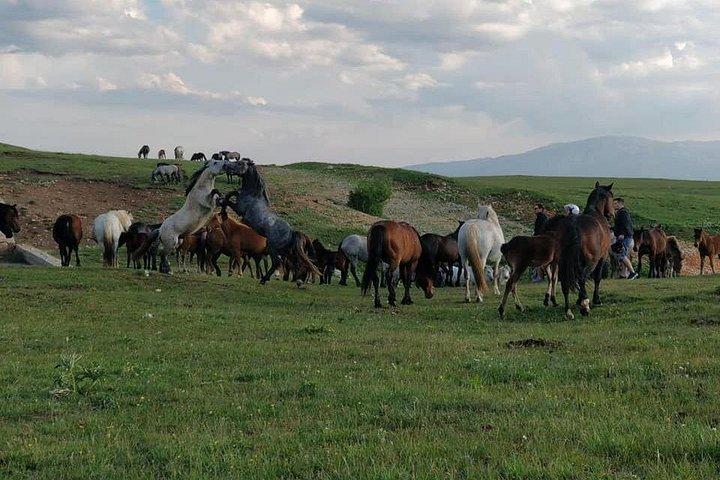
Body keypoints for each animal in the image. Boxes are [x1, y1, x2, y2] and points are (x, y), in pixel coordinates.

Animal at [542, 182, 614, 320]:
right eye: (611, 197)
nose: (611, 214)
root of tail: (574, 226)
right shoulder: (602, 258)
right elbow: (597, 278)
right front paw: (595, 300)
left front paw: (578, 300)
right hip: (590, 262)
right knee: (582, 278)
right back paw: (585, 306)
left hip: (564, 263)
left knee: (564, 283)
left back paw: (568, 310)